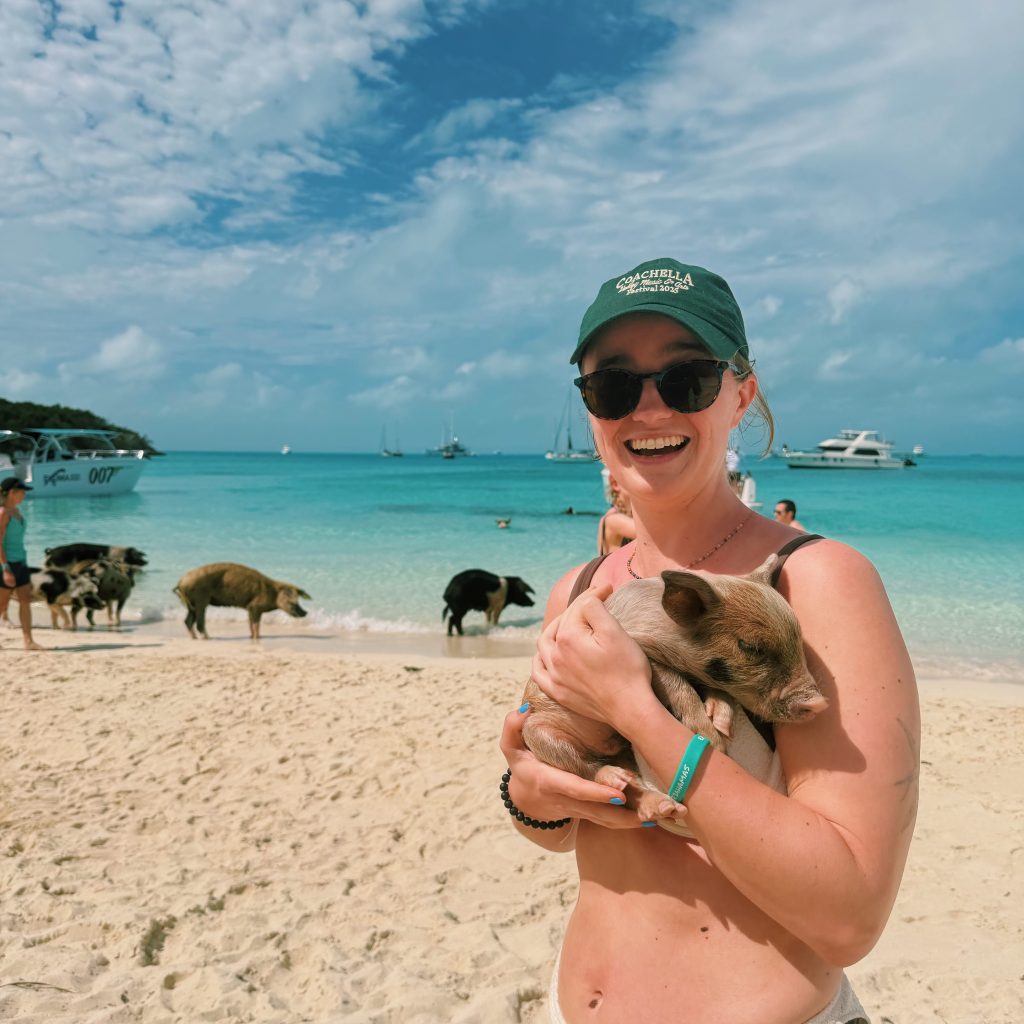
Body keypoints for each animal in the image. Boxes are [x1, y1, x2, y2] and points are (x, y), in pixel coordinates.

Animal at [173, 562, 311, 641]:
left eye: (298, 599)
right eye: (291, 601)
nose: (305, 612)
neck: (272, 594)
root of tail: (180, 582)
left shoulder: (250, 607)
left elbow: (251, 624)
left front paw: (253, 637)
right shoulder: (256, 607)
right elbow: (256, 624)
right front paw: (257, 638)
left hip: (191, 605)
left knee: (187, 621)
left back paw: (195, 638)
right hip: (201, 600)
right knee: (199, 623)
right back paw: (208, 638)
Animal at [521, 554, 827, 830]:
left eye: (799, 640)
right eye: (751, 646)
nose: (820, 704)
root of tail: (602, 749)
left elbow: (713, 687)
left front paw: (723, 723)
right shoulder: (642, 651)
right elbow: (678, 684)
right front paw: (716, 742)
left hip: (625, 749)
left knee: (632, 787)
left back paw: (662, 807)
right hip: (538, 734)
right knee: (584, 767)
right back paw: (615, 778)